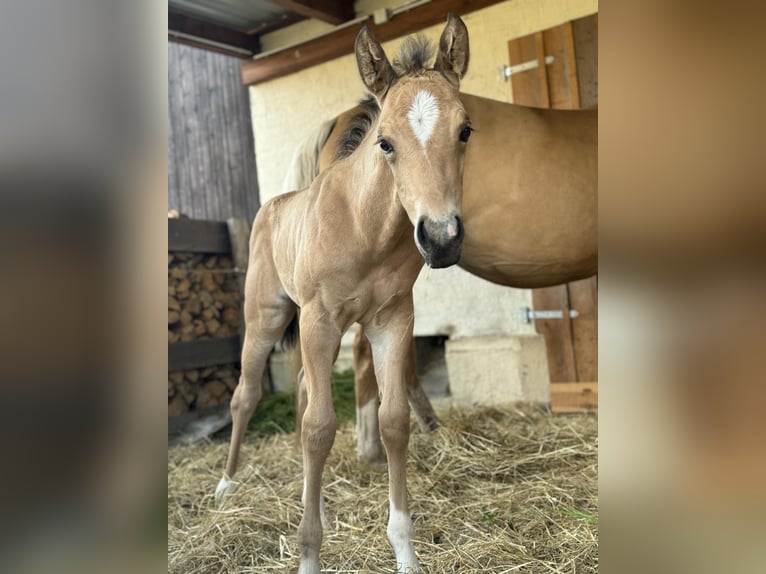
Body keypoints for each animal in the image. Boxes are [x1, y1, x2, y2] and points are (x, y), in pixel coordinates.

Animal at [216, 15, 474, 572]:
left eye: (465, 130)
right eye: (386, 142)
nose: (441, 238)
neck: (365, 229)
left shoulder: (392, 321)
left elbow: (392, 420)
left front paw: (406, 553)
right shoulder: (318, 321)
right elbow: (319, 428)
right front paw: (309, 556)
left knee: (305, 394)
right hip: (265, 318)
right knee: (247, 395)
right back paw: (225, 484)